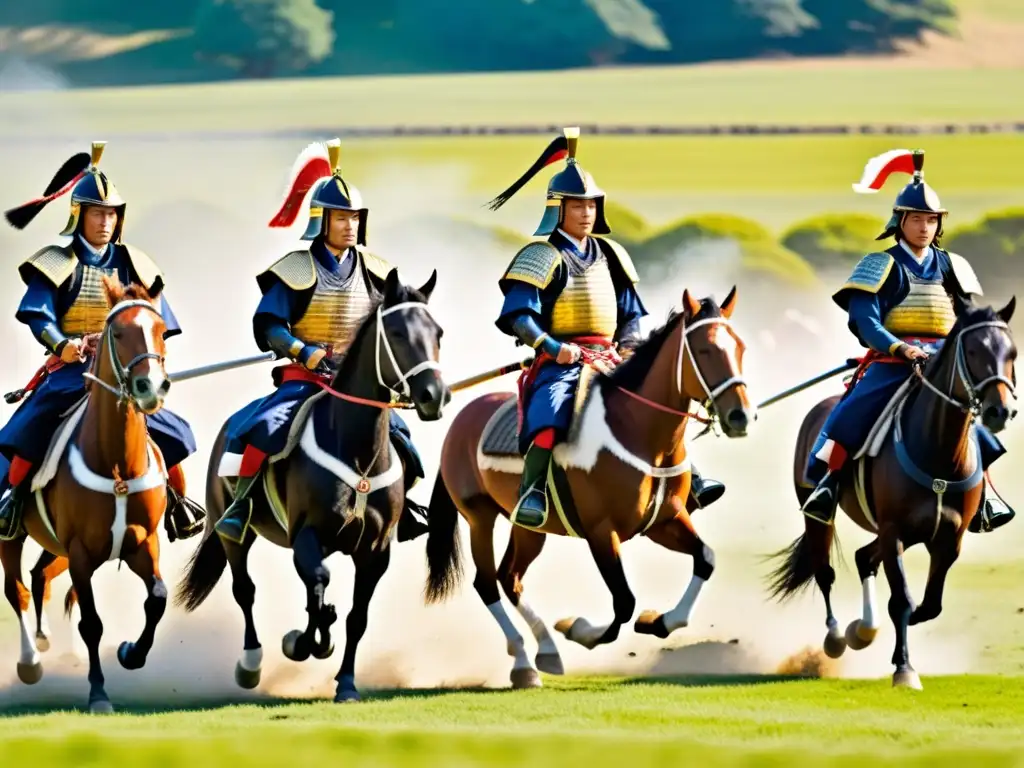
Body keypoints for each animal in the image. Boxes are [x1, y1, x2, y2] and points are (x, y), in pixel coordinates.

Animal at [0, 278, 175, 716]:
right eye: (118, 333)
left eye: (161, 330)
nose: (151, 387)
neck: (116, 464)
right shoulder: (80, 552)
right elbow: (91, 622)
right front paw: (98, 693)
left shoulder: (143, 544)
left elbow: (157, 599)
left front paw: (131, 653)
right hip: (12, 538)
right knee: (17, 589)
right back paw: (30, 662)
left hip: (56, 547)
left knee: (39, 576)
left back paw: (44, 639)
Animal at [176, 268, 448, 704]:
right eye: (397, 332)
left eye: (437, 332)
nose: (433, 395)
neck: (356, 451)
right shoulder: (306, 534)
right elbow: (319, 581)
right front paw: (304, 642)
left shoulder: (375, 551)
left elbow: (355, 616)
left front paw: (346, 682)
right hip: (234, 533)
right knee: (245, 589)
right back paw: (251, 664)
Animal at [419, 290, 757, 692]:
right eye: (704, 350)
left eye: (739, 347)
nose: (740, 416)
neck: (638, 431)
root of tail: (460, 420)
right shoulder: (601, 532)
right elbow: (623, 602)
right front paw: (579, 629)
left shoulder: (665, 522)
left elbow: (705, 559)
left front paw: (658, 622)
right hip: (479, 518)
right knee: (487, 583)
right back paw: (524, 662)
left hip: (527, 527)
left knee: (510, 578)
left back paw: (545, 651)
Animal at [770, 301, 1015, 692]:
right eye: (974, 351)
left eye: (1012, 353)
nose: (999, 410)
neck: (939, 452)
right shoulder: (894, 531)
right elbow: (901, 600)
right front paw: (904, 669)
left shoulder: (947, 538)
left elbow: (929, 605)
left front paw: (904, 634)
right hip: (819, 515)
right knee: (825, 571)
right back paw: (837, 636)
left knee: (862, 558)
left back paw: (863, 630)